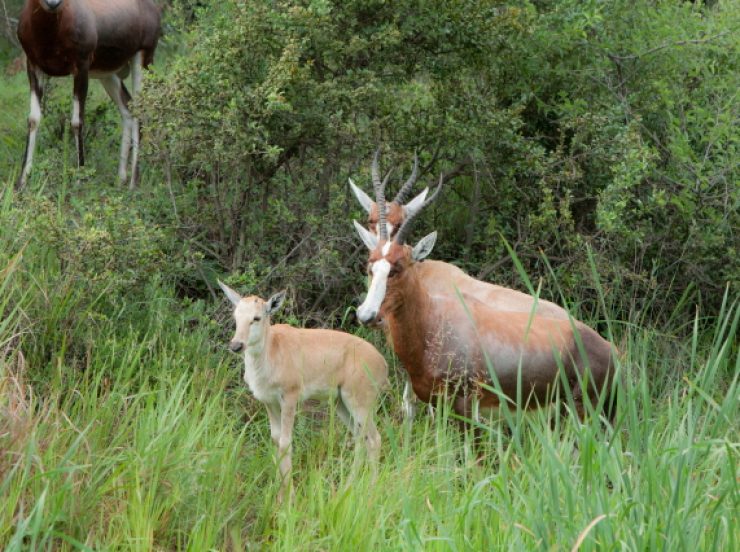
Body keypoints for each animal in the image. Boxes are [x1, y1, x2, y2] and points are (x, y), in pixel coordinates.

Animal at [17, 0, 160, 189]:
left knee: (139, 111)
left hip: (143, 59)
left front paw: (80, 179)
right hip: (108, 74)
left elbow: (77, 122)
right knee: (127, 108)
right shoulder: (33, 66)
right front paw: (22, 182)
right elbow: (33, 119)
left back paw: (133, 183)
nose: (53, 3)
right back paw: (120, 178)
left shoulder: (82, 67)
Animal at [217, 282, 388, 498]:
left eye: (256, 317)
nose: (236, 345)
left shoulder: (290, 397)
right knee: (360, 438)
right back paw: (346, 488)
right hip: (341, 404)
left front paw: (288, 497)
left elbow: (286, 442)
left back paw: (371, 490)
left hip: (361, 404)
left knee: (374, 439)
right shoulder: (269, 402)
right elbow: (276, 439)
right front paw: (278, 491)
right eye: (236, 316)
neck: (271, 351)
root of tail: (383, 363)